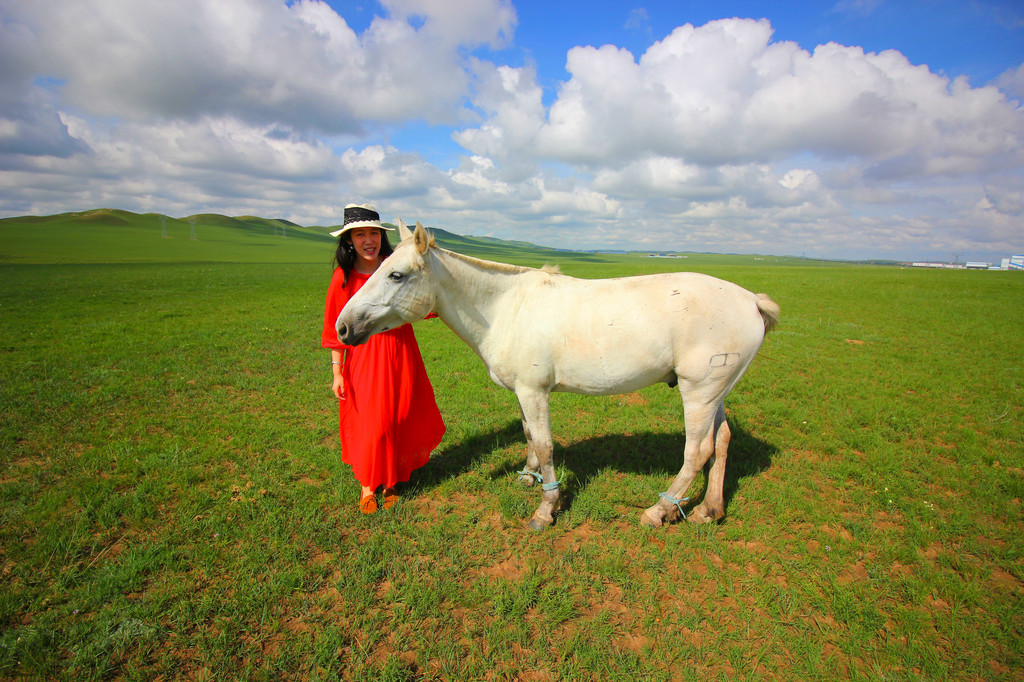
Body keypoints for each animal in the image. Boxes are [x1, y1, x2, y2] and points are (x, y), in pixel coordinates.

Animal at [335, 220, 774, 528]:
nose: (342, 327)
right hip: (715, 393)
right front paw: (528, 478)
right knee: (722, 441)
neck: (505, 308)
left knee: (697, 451)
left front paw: (547, 508)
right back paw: (708, 510)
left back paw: (659, 510)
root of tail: (750, 300)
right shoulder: (522, 392)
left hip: (698, 392)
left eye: (396, 275)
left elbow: (546, 445)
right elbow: (530, 435)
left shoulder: (534, 391)